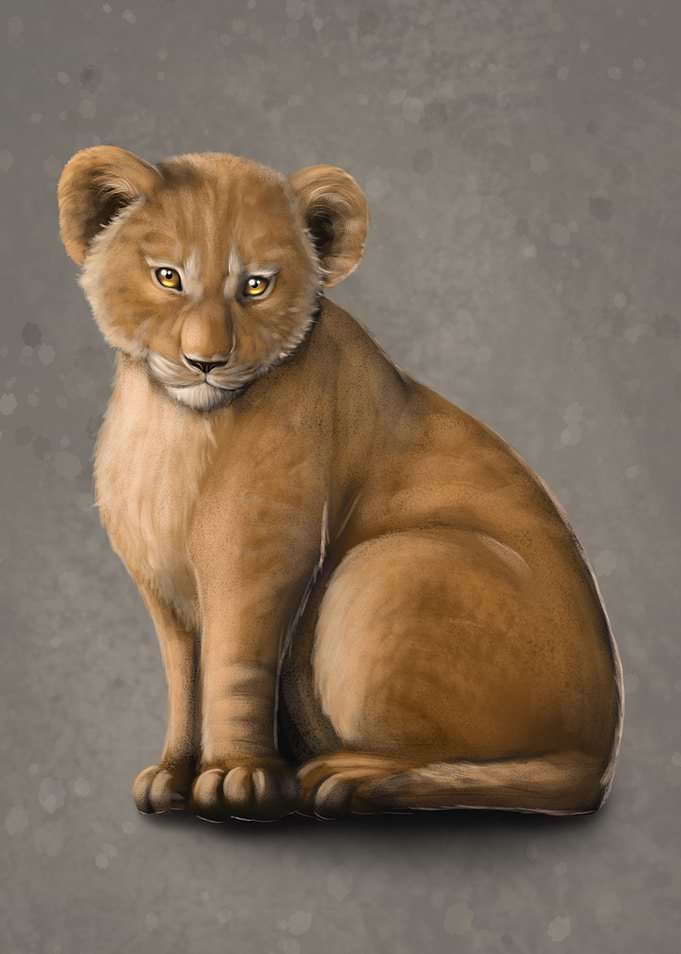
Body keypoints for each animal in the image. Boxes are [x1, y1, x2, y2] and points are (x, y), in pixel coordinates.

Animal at [57, 146, 623, 821]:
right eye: (168, 277)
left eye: (256, 285)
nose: (206, 362)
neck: (175, 425)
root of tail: (599, 757)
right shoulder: (159, 580)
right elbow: (182, 679)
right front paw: (171, 776)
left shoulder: (260, 552)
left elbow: (233, 664)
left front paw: (236, 775)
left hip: (386, 566)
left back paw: (342, 777)